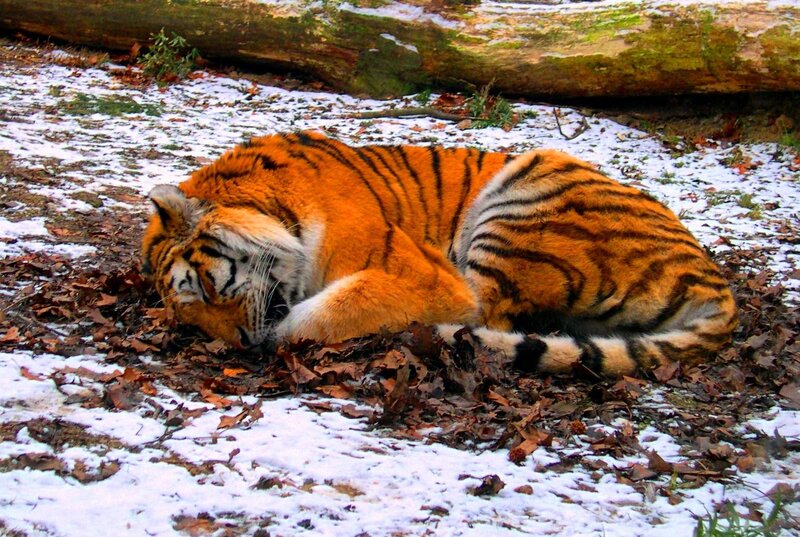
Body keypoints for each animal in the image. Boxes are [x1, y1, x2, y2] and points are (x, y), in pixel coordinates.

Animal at [141, 131, 736, 377]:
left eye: (208, 287)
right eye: (191, 323)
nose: (240, 345)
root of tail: (715, 282)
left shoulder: (424, 277)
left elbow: (325, 311)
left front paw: (279, 337)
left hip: (528, 189)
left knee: (487, 317)